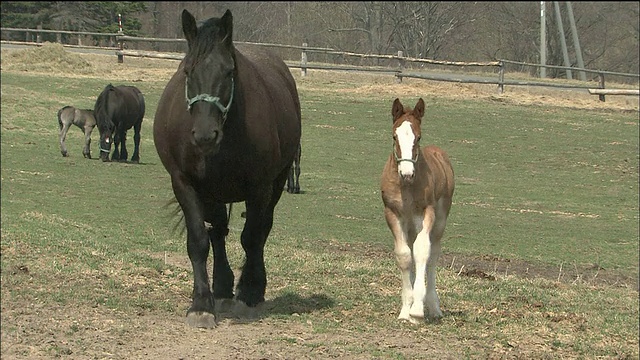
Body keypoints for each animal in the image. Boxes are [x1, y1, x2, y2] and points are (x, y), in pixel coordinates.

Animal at [155, 9, 304, 330]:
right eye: (188, 72)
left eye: (229, 72)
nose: (204, 134)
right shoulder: (185, 184)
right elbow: (199, 241)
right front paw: (201, 304)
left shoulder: (260, 188)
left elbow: (252, 236)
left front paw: (248, 292)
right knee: (218, 233)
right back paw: (221, 288)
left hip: (276, 183)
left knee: (261, 230)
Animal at [380, 97, 456, 324]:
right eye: (394, 136)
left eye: (418, 137)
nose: (407, 174)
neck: (406, 187)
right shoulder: (392, 213)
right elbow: (404, 255)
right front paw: (406, 309)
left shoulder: (426, 212)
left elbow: (422, 251)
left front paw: (417, 310)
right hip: (410, 224)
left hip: (440, 219)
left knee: (433, 253)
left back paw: (433, 306)